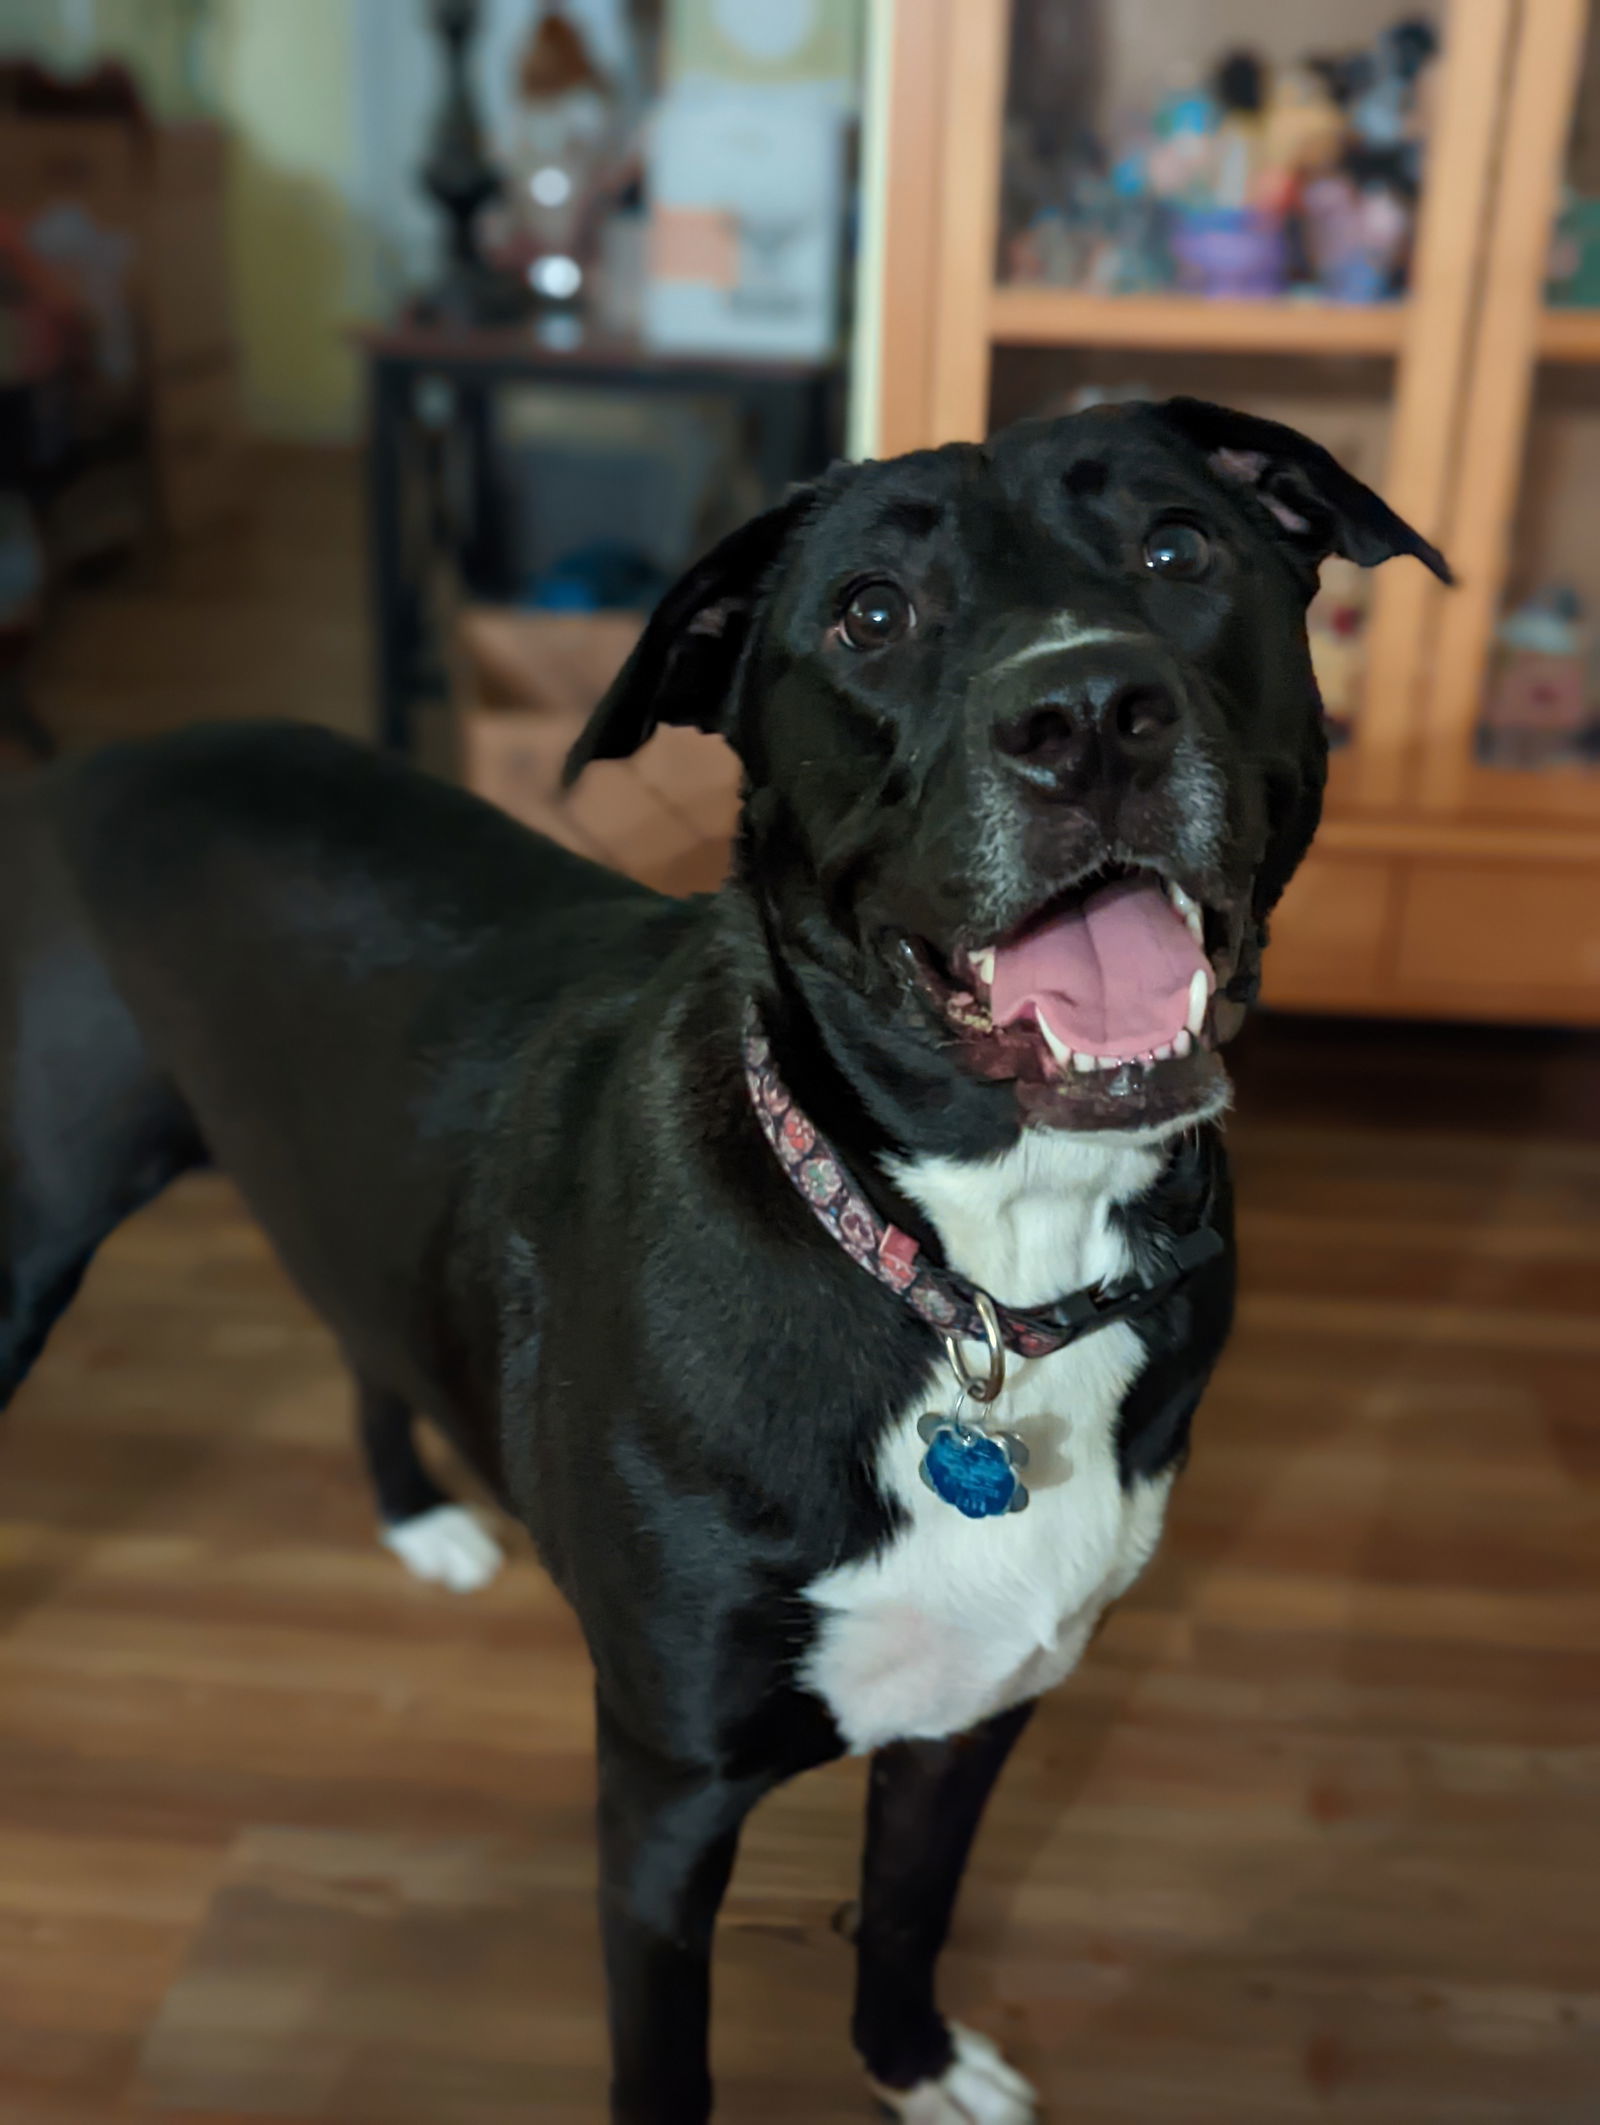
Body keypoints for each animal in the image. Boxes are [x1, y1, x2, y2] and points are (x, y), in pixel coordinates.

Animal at [0, 401, 1444, 2125]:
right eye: (871, 614)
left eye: (1180, 547)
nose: (1090, 714)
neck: (974, 1271)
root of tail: (85, 763)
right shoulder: (666, 1795)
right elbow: (666, 2062)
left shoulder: (980, 1709)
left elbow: (905, 1906)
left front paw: (911, 2063)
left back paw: (418, 1514)